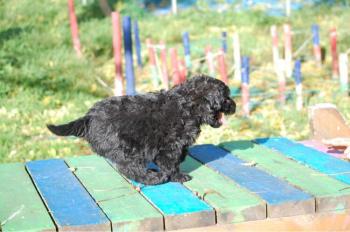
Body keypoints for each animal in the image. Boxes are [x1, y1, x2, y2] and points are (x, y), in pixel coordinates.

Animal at [47, 75, 237, 184]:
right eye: (226, 97)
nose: (235, 106)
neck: (189, 105)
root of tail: (88, 117)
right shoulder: (170, 145)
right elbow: (171, 163)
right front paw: (178, 176)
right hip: (127, 148)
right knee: (130, 168)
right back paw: (154, 178)